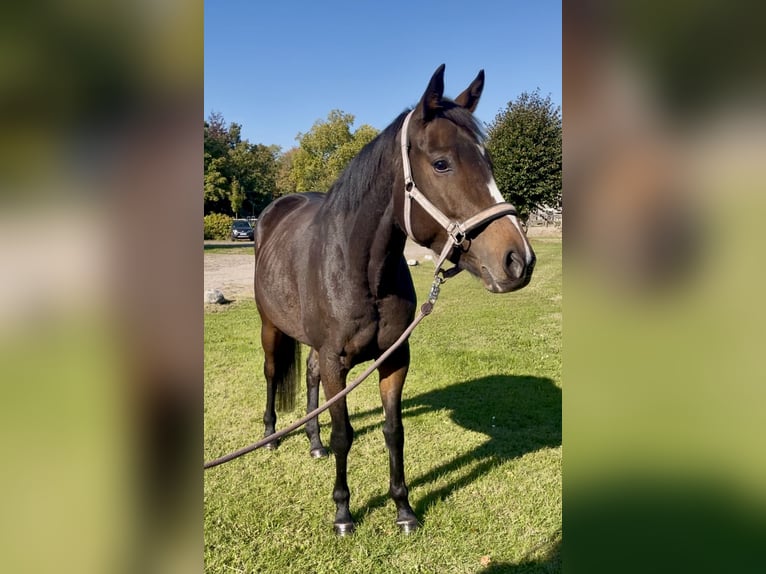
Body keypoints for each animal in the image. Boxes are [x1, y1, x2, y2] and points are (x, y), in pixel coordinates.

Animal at [253, 64, 535, 535]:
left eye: (489, 162)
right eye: (441, 163)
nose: (519, 260)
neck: (361, 271)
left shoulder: (394, 358)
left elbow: (393, 430)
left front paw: (403, 509)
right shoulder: (337, 363)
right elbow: (345, 433)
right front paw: (343, 514)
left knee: (309, 374)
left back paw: (312, 442)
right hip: (271, 327)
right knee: (274, 374)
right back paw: (271, 436)